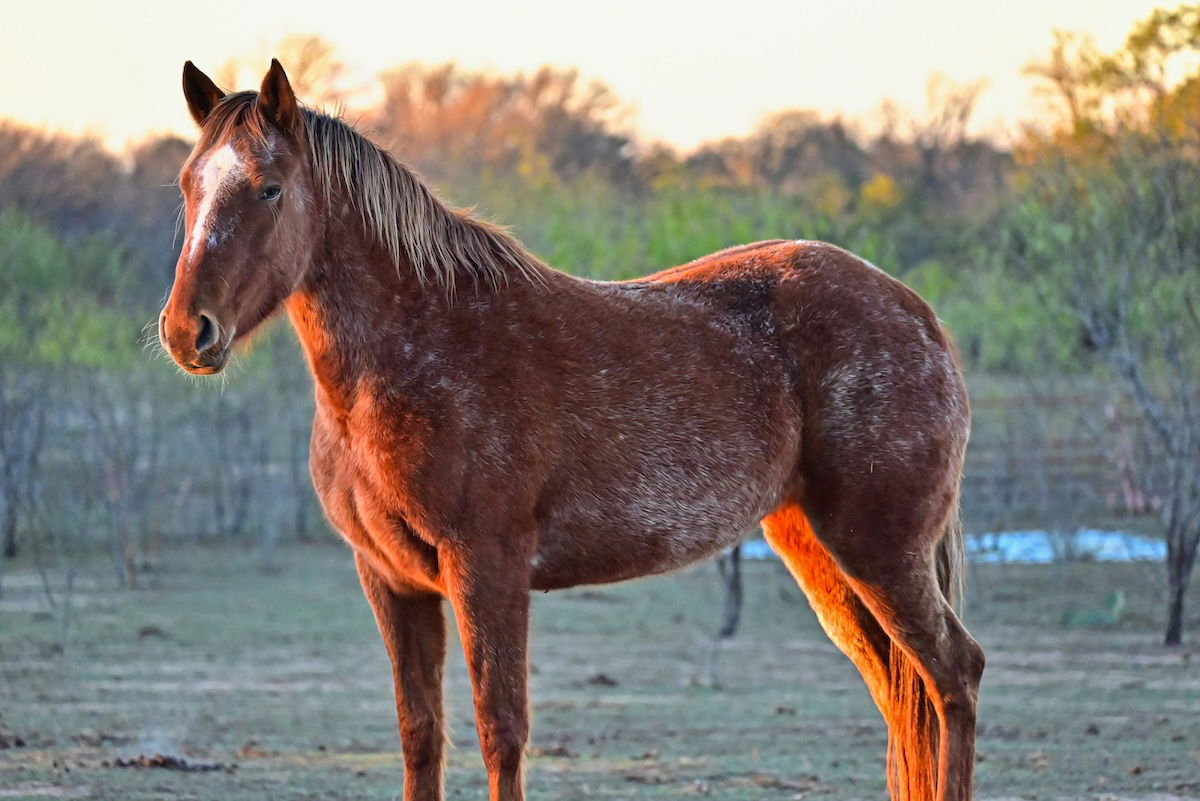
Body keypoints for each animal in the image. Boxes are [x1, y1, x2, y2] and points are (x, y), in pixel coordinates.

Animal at [159, 61, 984, 801]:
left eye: (268, 187)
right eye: (189, 185)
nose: (186, 331)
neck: (420, 347)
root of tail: (915, 310)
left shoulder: (486, 568)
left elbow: (500, 728)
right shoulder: (391, 580)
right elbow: (420, 734)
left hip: (879, 551)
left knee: (953, 674)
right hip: (821, 554)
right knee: (903, 691)